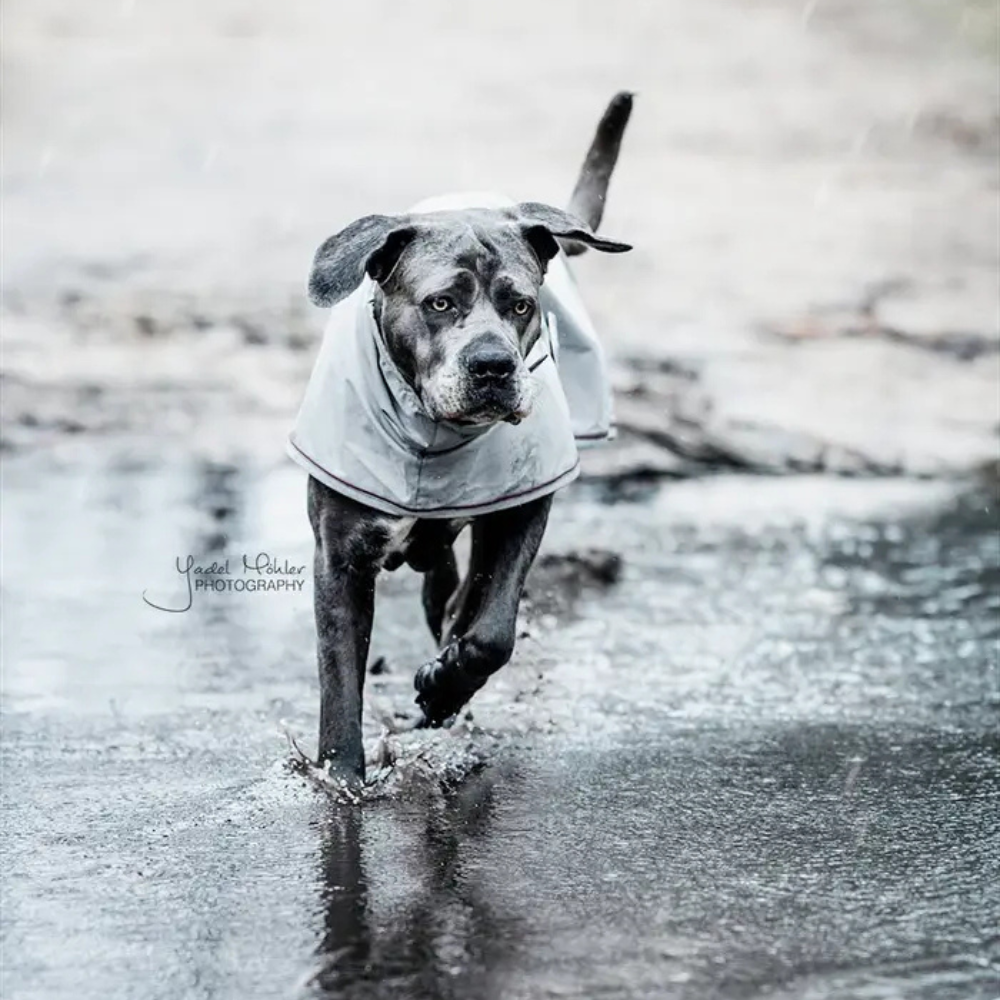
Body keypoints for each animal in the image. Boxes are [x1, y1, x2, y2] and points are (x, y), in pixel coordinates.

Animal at [290, 94, 632, 780]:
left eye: (521, 305)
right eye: (440, 303)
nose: (493, 366)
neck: (430, 433)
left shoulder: (522, 510)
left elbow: (492, 630)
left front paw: (445, 682)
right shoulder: (339, 555)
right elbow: (339, 679)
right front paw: (342, 779)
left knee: (459, 603)